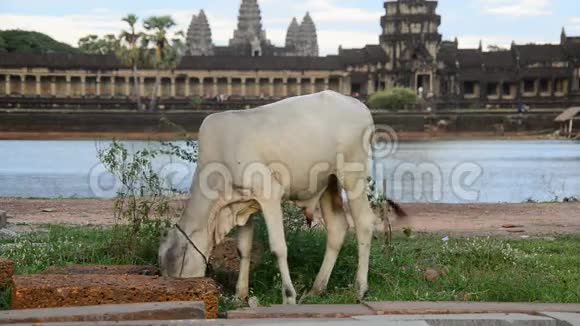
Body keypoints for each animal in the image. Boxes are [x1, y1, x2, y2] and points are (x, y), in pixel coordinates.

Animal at [156, 90, 406, 304]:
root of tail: (358, 104)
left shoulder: (269, 194)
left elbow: (278, 248)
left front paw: (288, 296)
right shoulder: (243, 203)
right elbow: (243, 249)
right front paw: (240, 294)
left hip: (352, 174)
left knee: (364, 222)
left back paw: (360, 288)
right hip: (328, 182)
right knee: (338, 227)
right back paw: (317, 288)